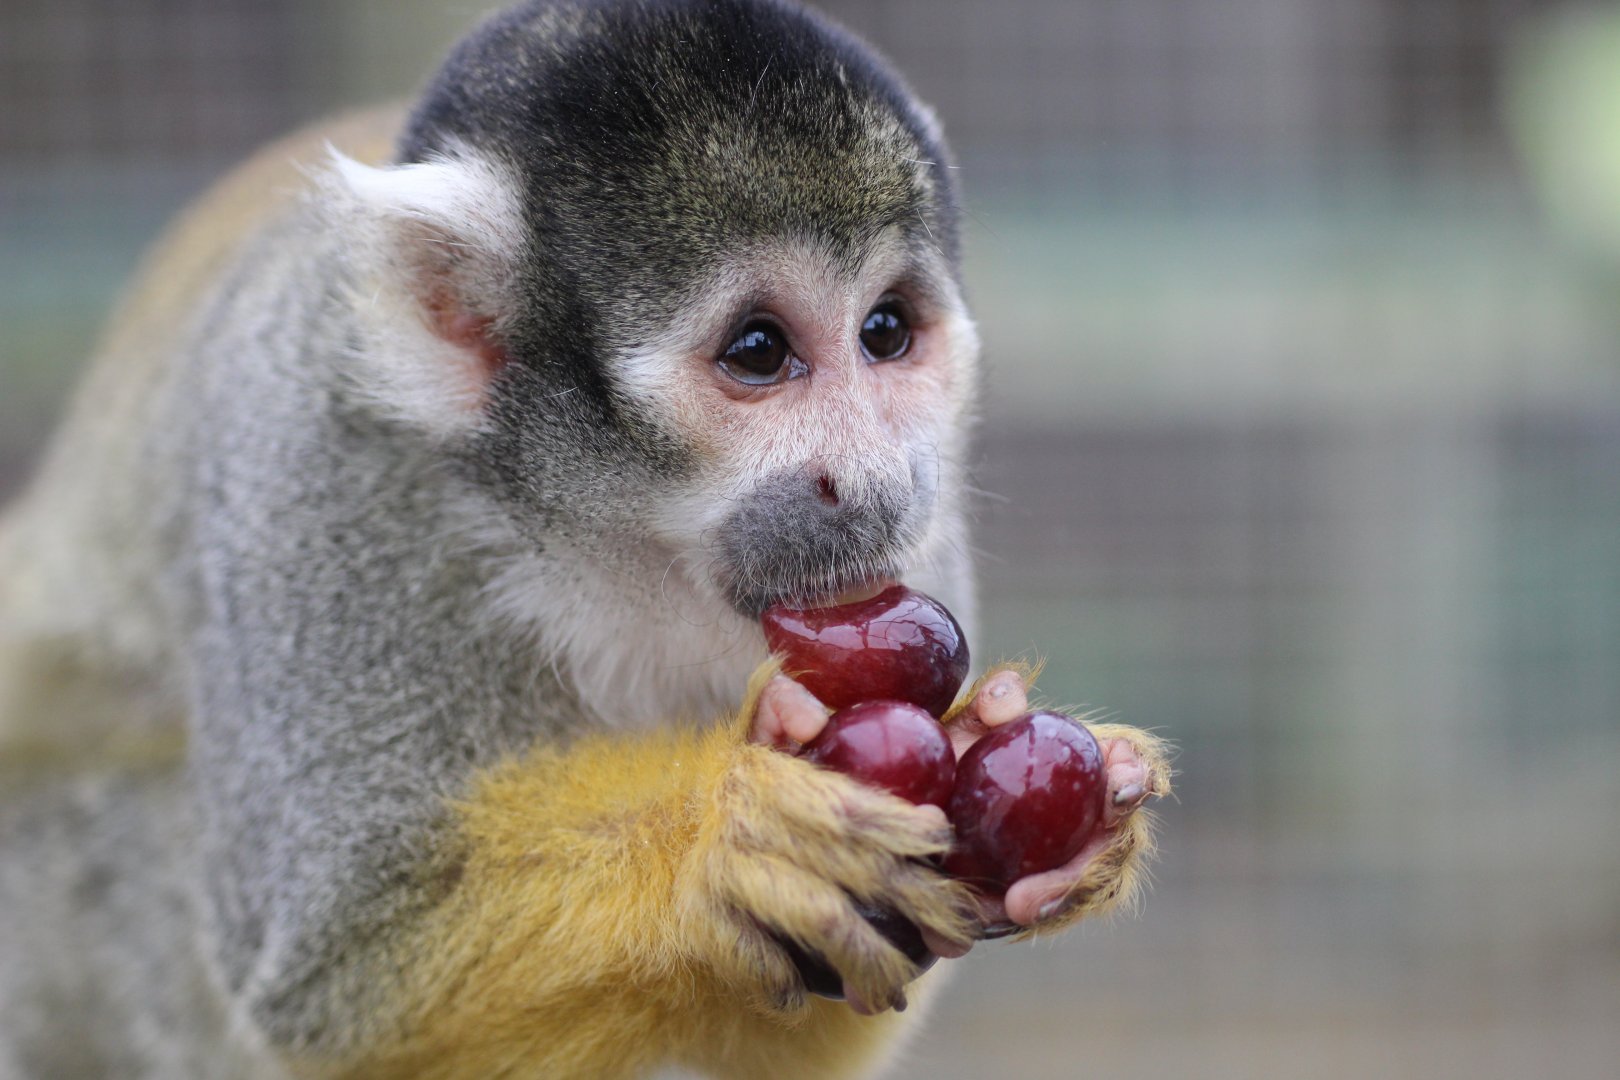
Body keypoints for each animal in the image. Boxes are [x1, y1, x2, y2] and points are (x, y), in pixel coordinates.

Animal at [0, 1, 1170, 1077]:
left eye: (885, 332)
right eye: (758, 351)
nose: (876, 482)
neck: (602, 535)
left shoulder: (918, 543)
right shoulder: (313, 458)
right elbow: (337, 971)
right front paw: (722, 846)